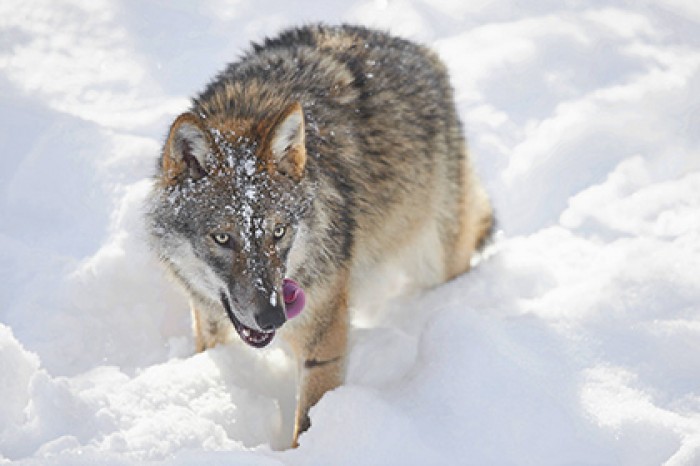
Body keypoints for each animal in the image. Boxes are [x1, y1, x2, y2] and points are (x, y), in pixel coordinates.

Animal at [144, 23, 492, 446]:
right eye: (223, 239)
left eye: (279, 232)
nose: (273, 316)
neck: (246, 109)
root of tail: (420, 50)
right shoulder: (209, 319)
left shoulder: (323, 336)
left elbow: (308, 418)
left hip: (435, 260)